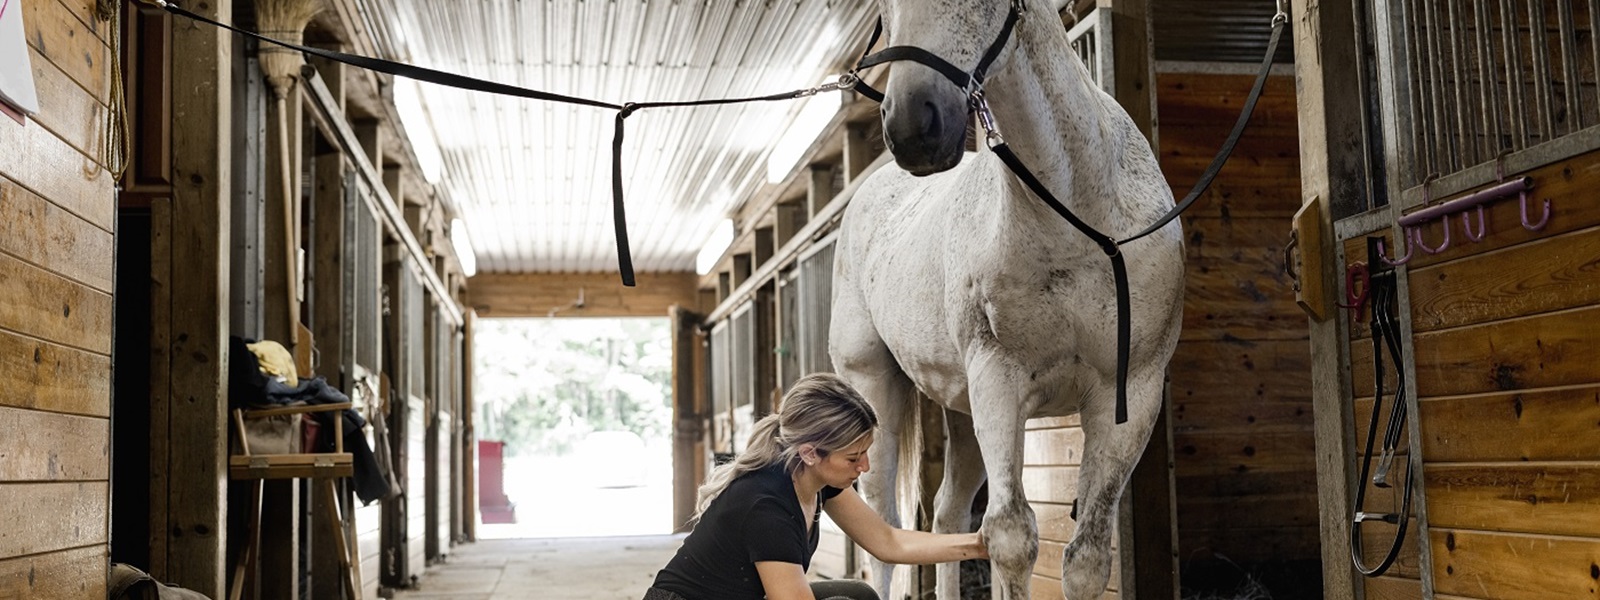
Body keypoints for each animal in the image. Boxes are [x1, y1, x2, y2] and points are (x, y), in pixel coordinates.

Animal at [825, 0, 1190, 598]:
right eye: (883, 8)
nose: (912, 128)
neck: (1077, 221)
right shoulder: (999, 381)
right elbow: (1011, 537)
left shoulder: (1130, 395)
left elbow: (1086, 556)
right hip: (877, 387)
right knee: (884, 522)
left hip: (961, 412)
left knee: (946, 516)